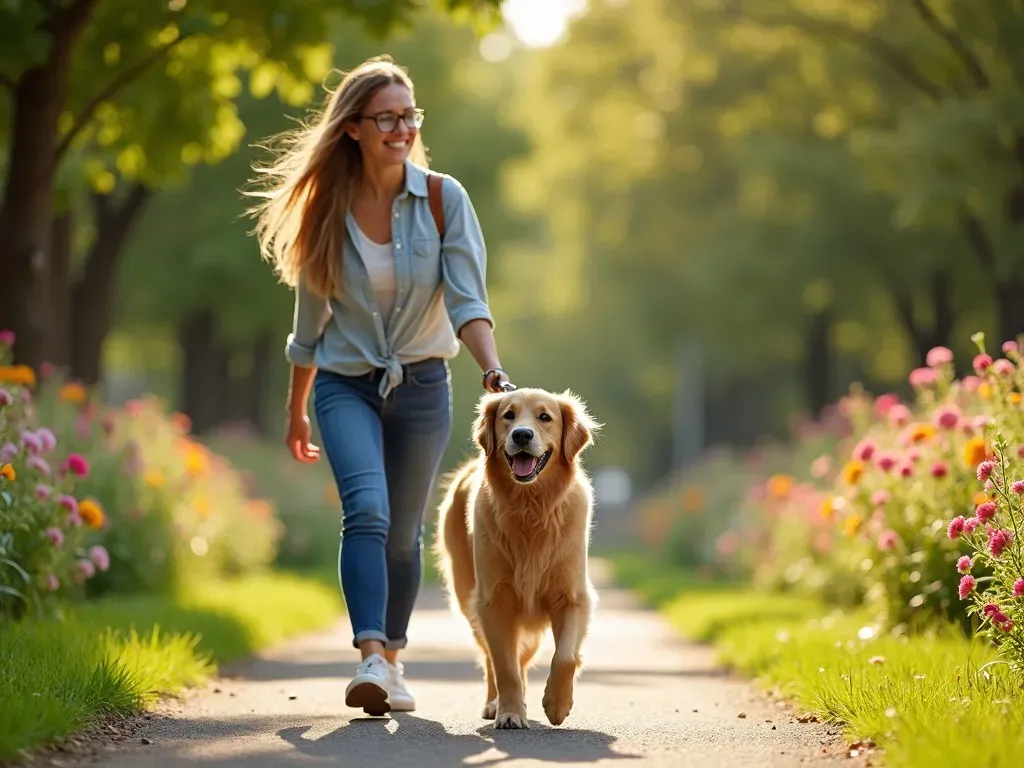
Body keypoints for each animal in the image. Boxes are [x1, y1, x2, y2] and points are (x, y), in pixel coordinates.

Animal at [430, 387, 598, 729]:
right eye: (509, 415)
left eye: (545, 417)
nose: (521, 434)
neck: (529, 508)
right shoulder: (493, 601)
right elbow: (504, 664)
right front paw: (509, 712)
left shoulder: (573, 597)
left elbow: (565, 656)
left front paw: (557, 704)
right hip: (468, 600)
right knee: (493, 658)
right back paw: (497, 703)